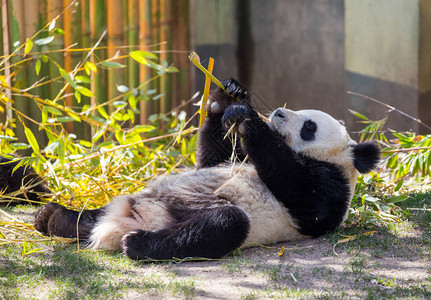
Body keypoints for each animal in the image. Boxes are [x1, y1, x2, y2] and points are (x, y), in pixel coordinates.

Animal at [32, 78, 380, 258]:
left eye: (309, 126)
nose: (278, 113)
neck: (332, 160)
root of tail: (140, 218)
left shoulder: (328, 188)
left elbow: (293, 183)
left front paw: (248, 119)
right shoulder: (226, 161)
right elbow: (212, 159)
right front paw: (227, 97)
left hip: (204, 216)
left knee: (221, 225)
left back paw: (138, 244)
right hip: (135, 198)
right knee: (96, 214)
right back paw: (54, 218)